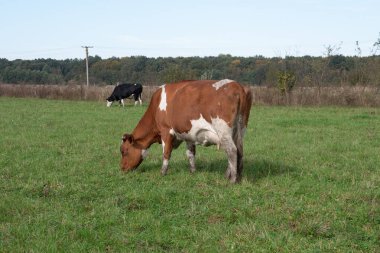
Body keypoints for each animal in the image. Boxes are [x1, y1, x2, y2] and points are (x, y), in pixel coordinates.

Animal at [120, 79, 252, 182]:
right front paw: (193, 171)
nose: (122, 168)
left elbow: (166, 153)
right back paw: (236, 176)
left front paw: (163, 172)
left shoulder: (166, 131)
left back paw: (232, 179)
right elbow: (190, 154)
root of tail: (238, 86)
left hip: (224, 131)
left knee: (232, 151)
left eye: (124, 151)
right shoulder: (189, 135)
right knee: (239, 151)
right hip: (240, 130)